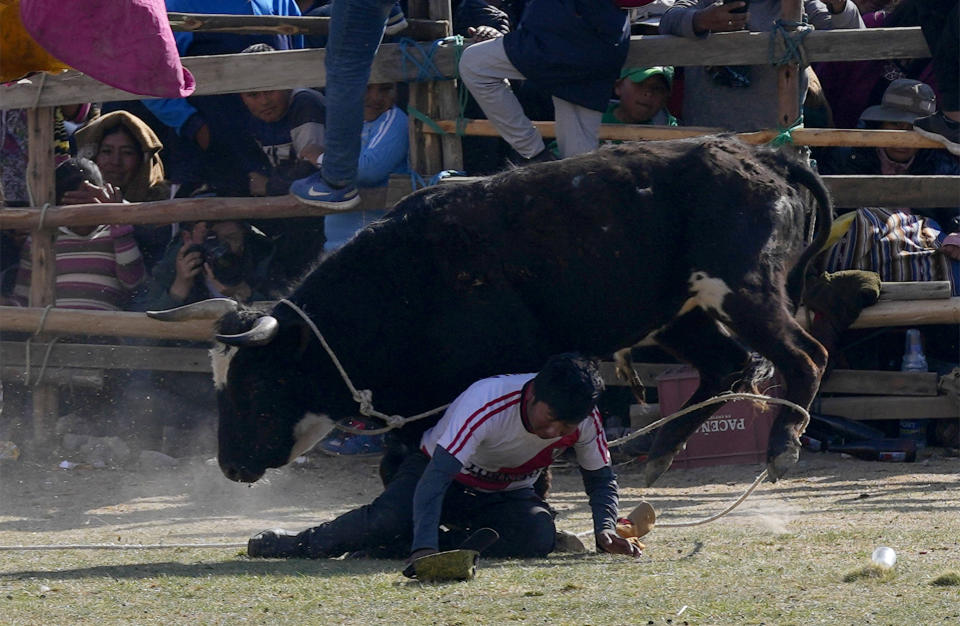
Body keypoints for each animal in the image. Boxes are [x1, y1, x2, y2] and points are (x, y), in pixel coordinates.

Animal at [150, 136, 832, 486]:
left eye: (256, 389)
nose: (230, 466)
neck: (408, 278)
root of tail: (759, 157)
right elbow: (398, 462)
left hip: (744, 289)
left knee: (803, 355)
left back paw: (782, 446)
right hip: (679, 314)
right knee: (727, 366)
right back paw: (663, 450)